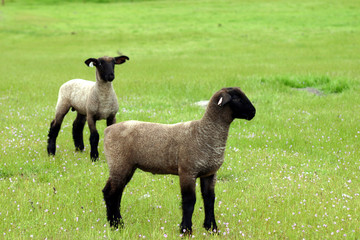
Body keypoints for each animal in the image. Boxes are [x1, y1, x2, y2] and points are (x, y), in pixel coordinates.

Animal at [101, 86, 256, 234]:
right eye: (237, 98)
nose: (253, 112)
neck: (204, 133)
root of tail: (108, 130)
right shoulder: (187, 171)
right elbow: (189, 201)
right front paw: (186, 230)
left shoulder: (209, 173)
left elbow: (209, 200)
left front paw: (212, 229)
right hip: (119, 163)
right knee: (111, 194)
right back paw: (117, 225)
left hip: (125, 166)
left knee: (113, 193)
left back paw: (115, 223)